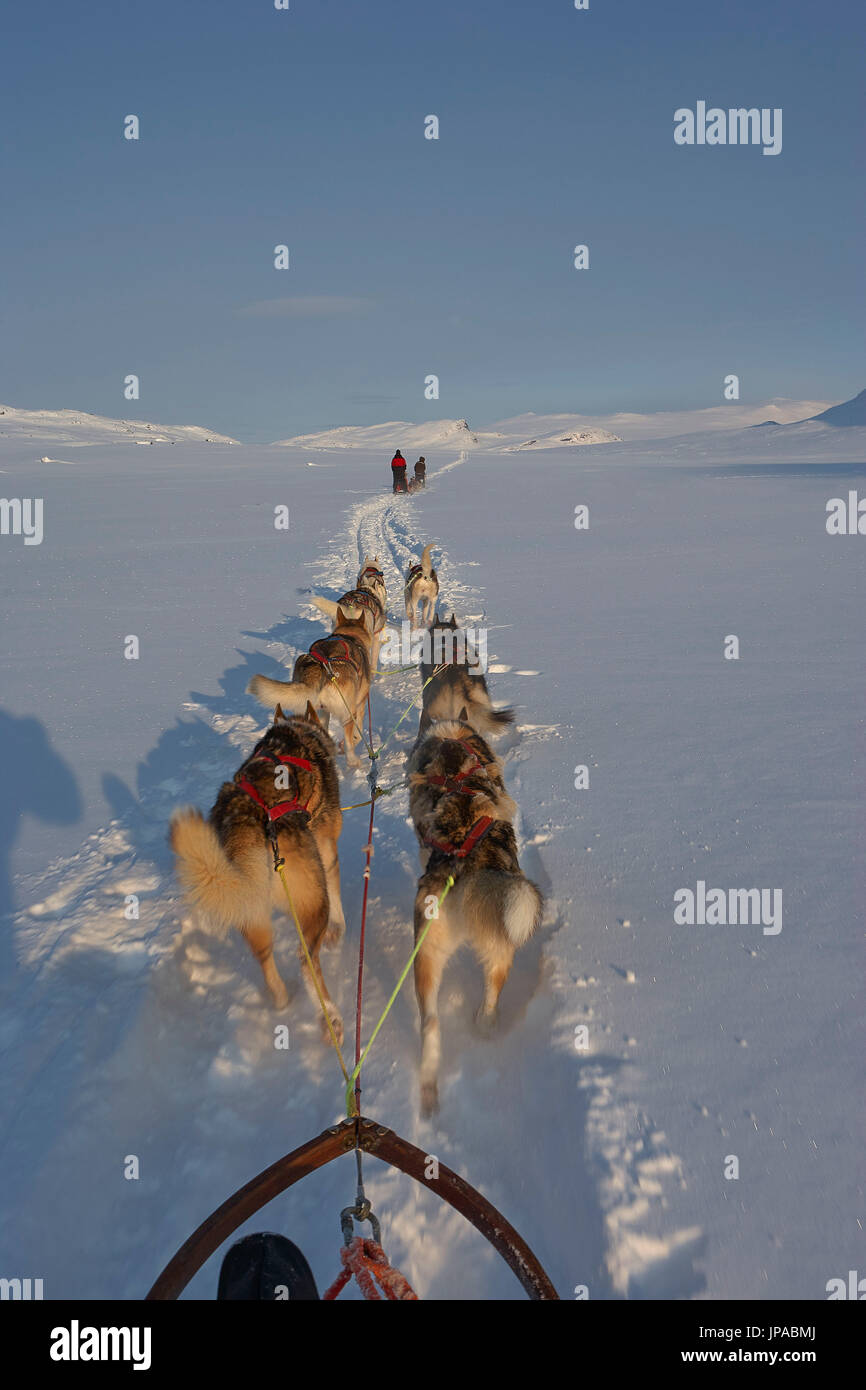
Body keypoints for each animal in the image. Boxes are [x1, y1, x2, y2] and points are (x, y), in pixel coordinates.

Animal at [169, 706, 346, 1045]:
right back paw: (331, 1018)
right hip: (314, 900)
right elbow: (337, 892)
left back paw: (281, 998)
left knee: (265, 959)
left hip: (251, 913)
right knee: (306, 959)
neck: (299, 730)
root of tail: (248, 823)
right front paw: (339, 931)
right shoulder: (327, 848)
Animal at [247, 603, 375, 767]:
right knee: (348, 745)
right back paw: (353, 761)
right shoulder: (360, 705)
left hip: (306, 709)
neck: (348, 635)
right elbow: (357, 735)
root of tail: (320, 667)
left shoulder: (323, 711)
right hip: (347, 713)